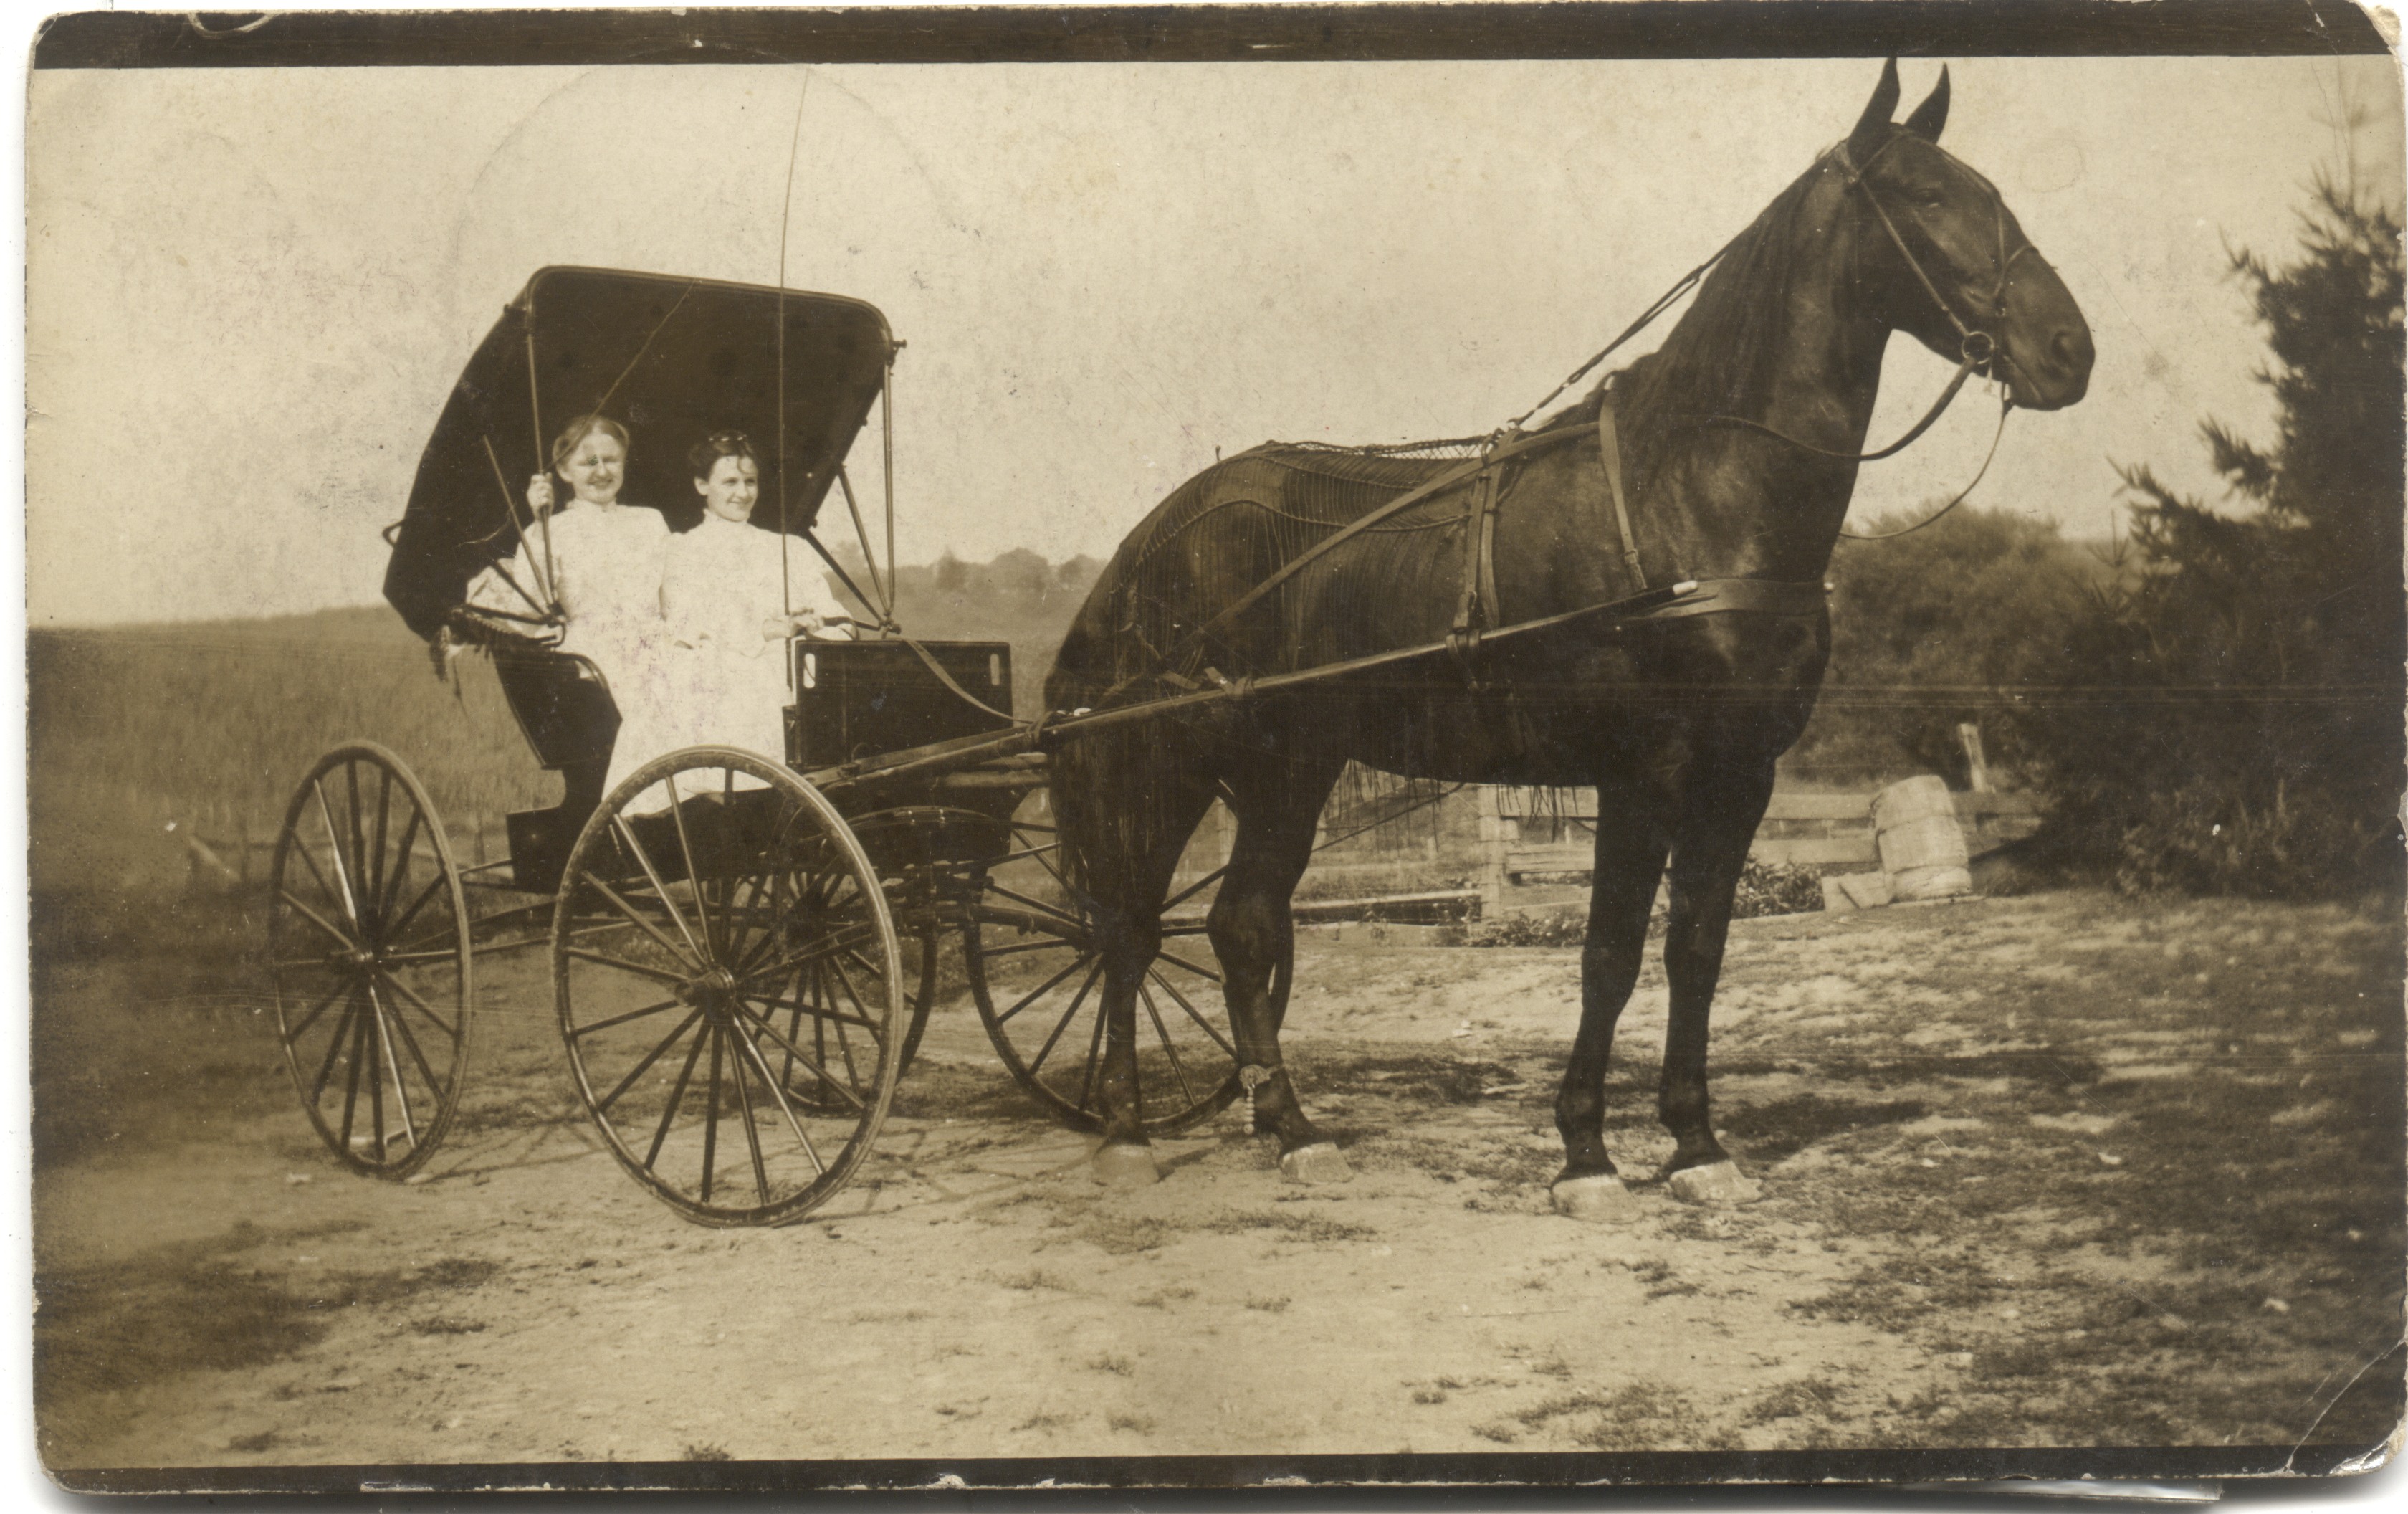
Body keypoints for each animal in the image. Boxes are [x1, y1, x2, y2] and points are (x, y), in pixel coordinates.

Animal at [1042, 61, 2094, 1212]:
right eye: (1925, 194)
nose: (2069, 351)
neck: (1690, 496)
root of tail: (1159, 531)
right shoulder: (1643, 771)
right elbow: (1610, 955)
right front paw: (1586, 1154)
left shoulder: (1741, 775)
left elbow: (1696, 950)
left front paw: (1697, 1146)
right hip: (1165, 765)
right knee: (1129, 929)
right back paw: (1129, 1132)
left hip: (1290, 768)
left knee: (1240, 926)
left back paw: (1289, 1128)